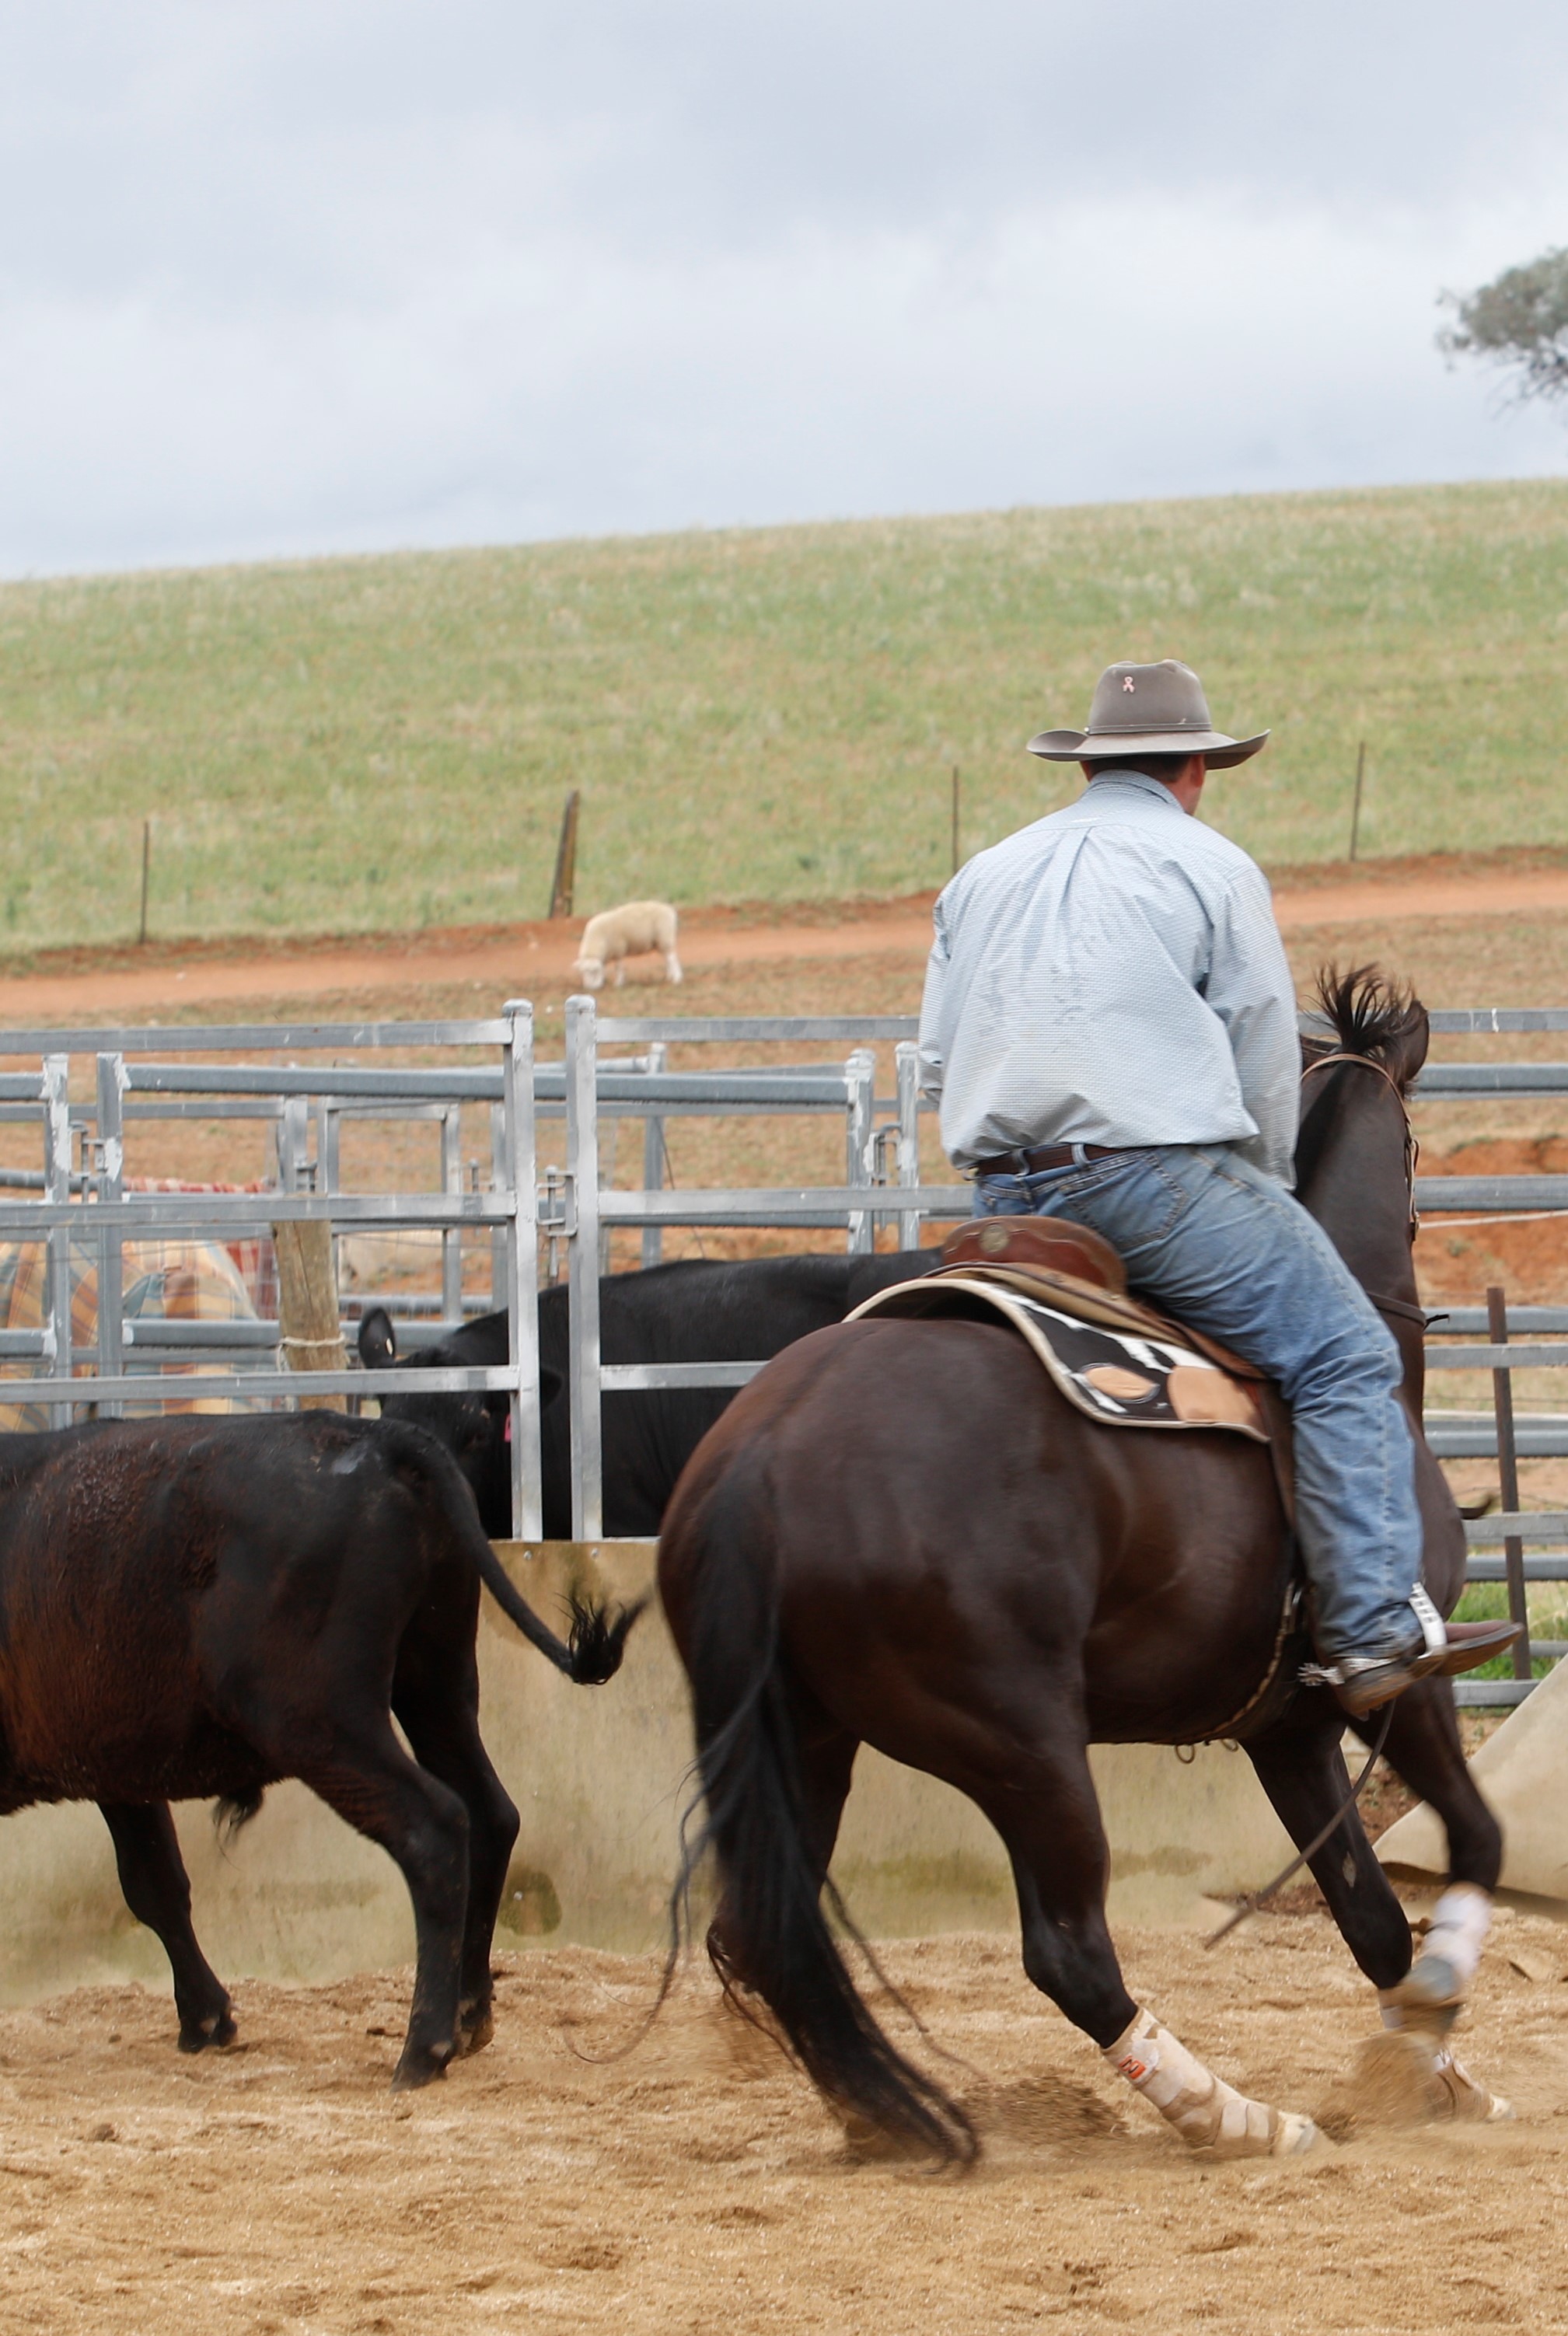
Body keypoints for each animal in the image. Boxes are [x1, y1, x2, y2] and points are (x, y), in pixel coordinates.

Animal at [0, 1411, 637, 2086]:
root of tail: (382, 1440)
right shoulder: (118, 1767)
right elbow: (155, 1884)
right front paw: (206, 2018)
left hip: (320, 1721)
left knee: (433, 1828)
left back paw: (424, 2046)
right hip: (435, 1684)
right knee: (491, 1815)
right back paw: (468, 2016)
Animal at [656, 969, 1506, 2161]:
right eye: (1418, 1143)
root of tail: (760, 1459)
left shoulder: (1286, 1726)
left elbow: (1370, 1912)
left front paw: (1434, 2077)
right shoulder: (1403, 1679)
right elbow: (1473, 1838)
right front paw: (1437, 2020)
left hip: (799, 1735)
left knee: (761, 1931)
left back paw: (882, 2118)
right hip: (1024, 1745)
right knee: (1068, 1948)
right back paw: (1237, 2117)